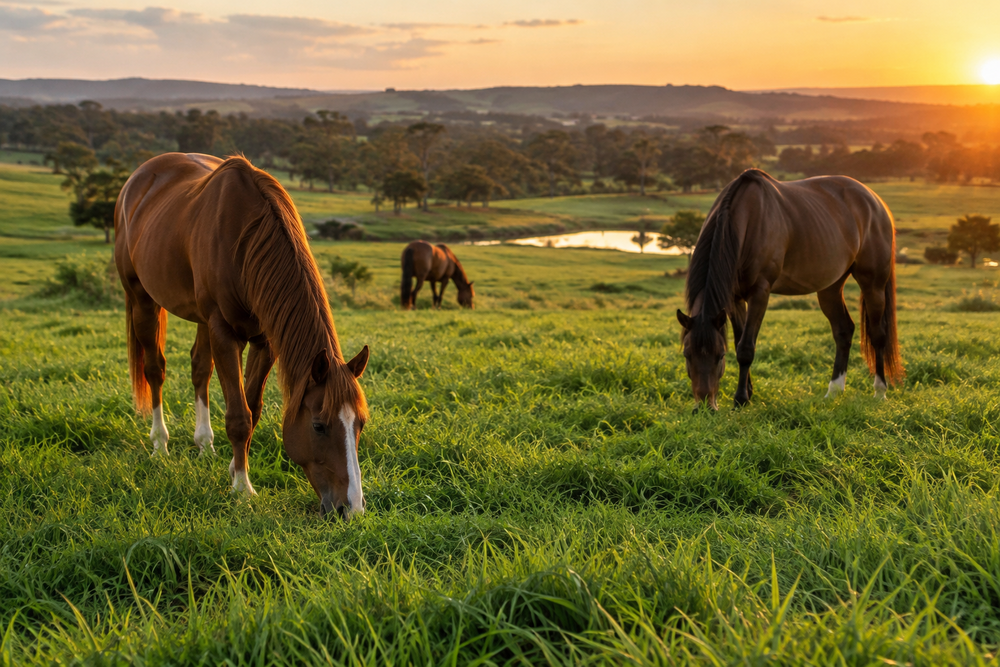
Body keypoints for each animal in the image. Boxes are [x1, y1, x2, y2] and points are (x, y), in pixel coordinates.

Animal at [114, 153, 370, 520]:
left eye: (360, 424)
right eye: (318, 426)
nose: (351, 508)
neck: (246, 237)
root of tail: (138, 178)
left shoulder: (264, 340)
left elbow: (252, 408)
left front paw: (236, 469)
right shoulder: (224, 332)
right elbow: (238, 416)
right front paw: (242, 489)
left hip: (199, 317)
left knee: (199, 369)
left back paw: (204, 445)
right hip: (141, 299)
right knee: (155, 371)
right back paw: (160, 444)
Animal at [676, 168, 903, 410]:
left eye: (720, 356)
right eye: (687, 355)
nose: (704, 407)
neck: (745, 218)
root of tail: (875, 201)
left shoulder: (760, 292)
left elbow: (746, 348)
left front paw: (741, 399)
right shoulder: (735, 298)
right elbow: (738, 342)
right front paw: (748, 392)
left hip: (873, 283)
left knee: (878, 334)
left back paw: (880, 391)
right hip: (830, 288)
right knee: (843, 331)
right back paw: (833, 390)